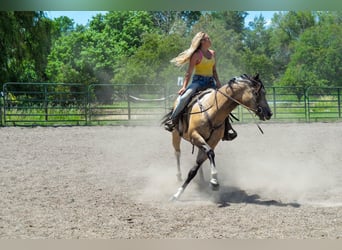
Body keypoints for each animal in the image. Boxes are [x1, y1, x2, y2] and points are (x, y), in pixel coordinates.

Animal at [162, 73, 272, 201]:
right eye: (256, 93)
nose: (269, 113)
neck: (213, 110)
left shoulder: (212, 141)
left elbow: (195, 168)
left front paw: (179, 192)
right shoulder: (195, 135)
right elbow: (210, 153)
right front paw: (214, 181)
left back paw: (202, 180)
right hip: (176, 134)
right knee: (177, 153)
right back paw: (179, 176)